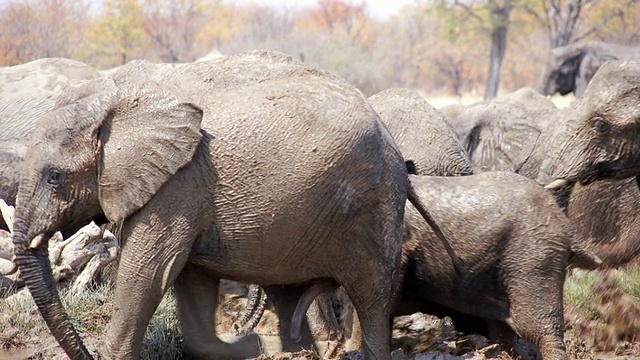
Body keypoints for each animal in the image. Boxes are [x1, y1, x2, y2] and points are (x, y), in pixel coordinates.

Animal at [11, 51, 460, 360]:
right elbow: (190, 277)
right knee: (292, 289)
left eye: (55, 177)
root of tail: (394, 148)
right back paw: (293, 348)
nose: (84, 351)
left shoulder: (177, 188)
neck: (117, 104)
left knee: (371, 293)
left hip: (372, 203)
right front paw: (248, 346)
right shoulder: (186, 198)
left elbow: (149, 272)